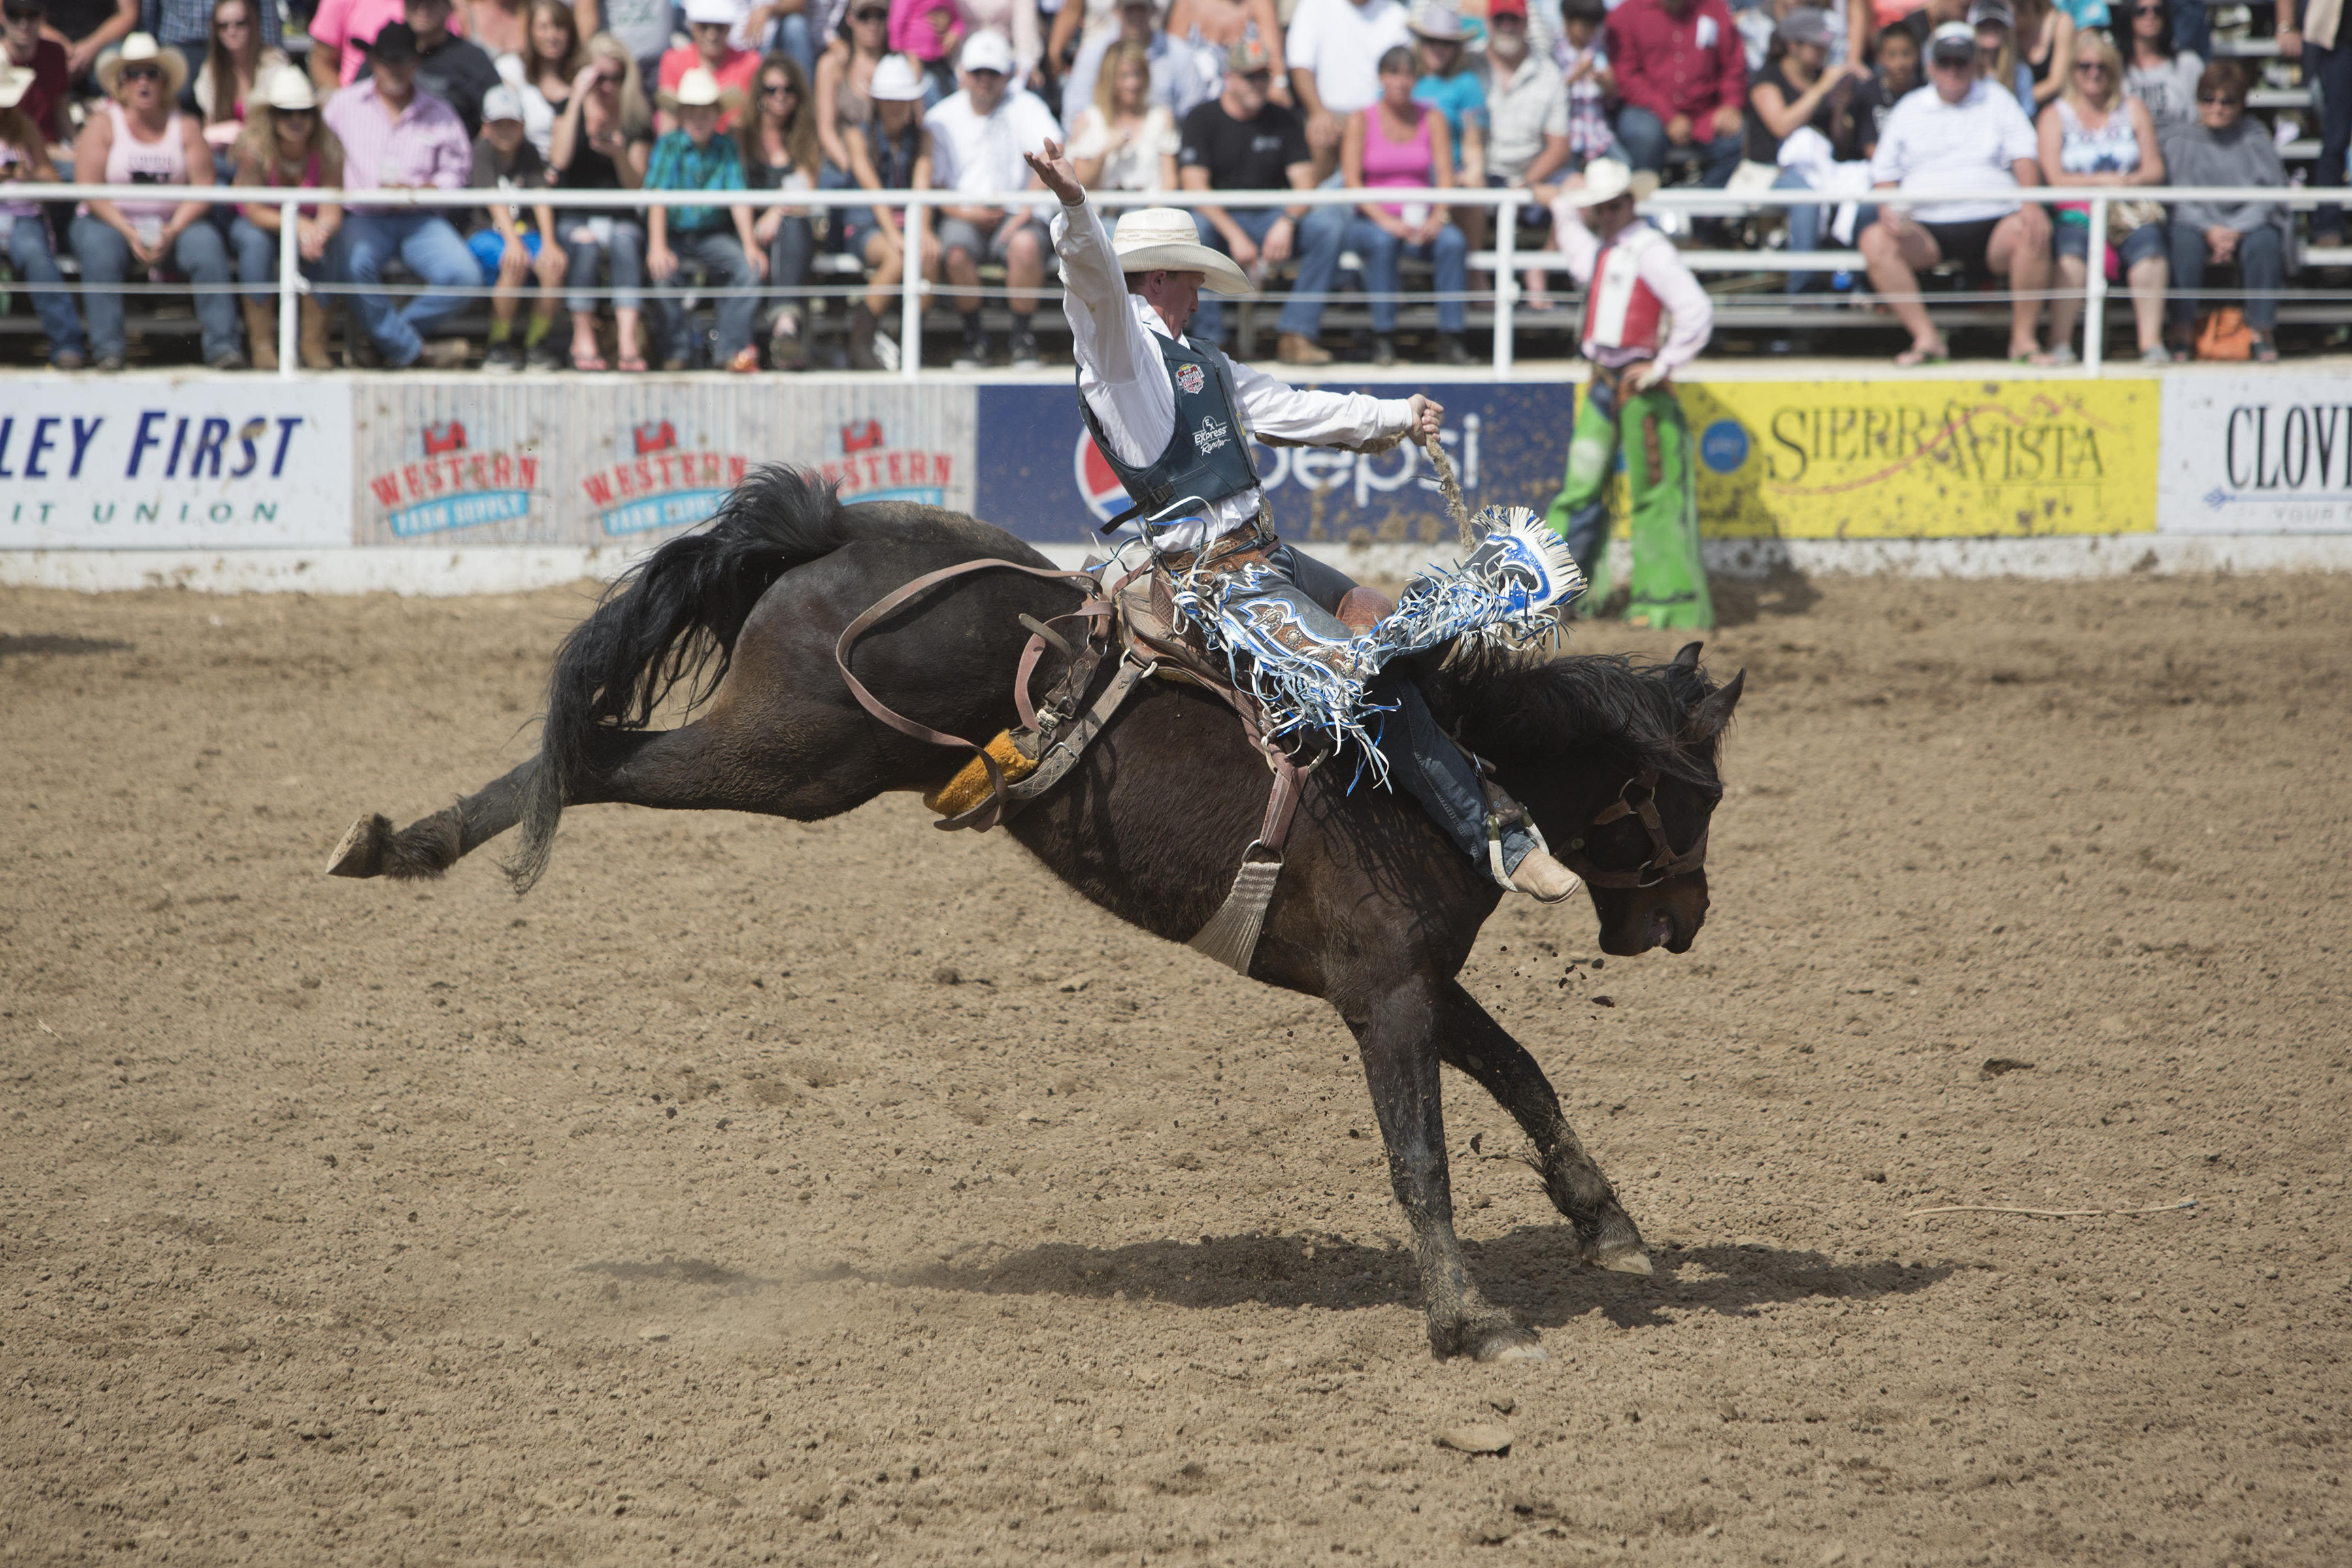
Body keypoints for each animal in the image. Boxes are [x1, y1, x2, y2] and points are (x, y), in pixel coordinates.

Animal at [327, 465, 1749, 1363]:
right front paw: (1467, 1320)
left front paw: (1607, 1226)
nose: (1683, 919)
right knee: (597, 756)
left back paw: (391, 843)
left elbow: (1523, 1073)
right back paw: (403, 844)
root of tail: (834, 533)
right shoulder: (1385, 999)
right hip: (786, 760)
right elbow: (1421, 1156)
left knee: (596, 746)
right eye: (1700, 796)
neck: (1432, 766)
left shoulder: (1415, 981)